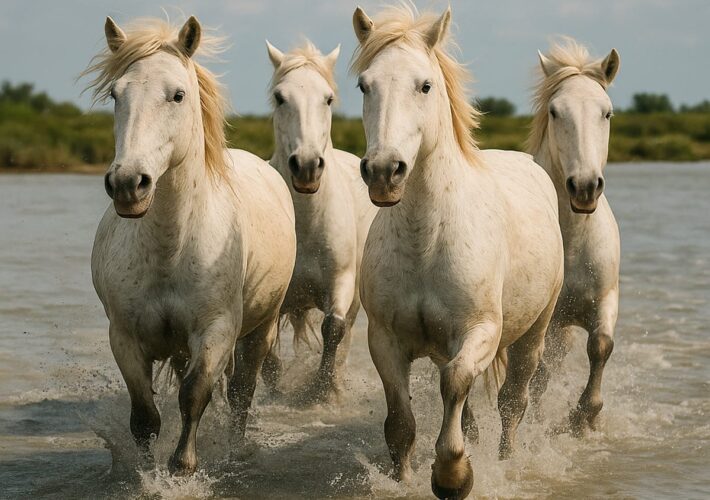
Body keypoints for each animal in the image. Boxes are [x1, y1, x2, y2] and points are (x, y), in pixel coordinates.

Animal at [85, 17, 296, 474]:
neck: (171, 248)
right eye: (115, 95)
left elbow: (195, 395)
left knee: (241, 392)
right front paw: (146, 472)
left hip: (261, 327)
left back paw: (235, 448)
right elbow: (145, 417)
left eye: (178, 95)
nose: (128, 184)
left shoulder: (215, 331)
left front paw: (183, 466)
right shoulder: (124, 337)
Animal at [261, 40, 377, 401]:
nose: (307, 166)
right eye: (280, 98)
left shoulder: (340, 283)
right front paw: (277, 388)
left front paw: (319, 392)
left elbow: (333, 329)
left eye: (327, 98)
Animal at [351, 6, 564, 499]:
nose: (384, 172)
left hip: (534, 334)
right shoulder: (385, 340)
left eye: (425, 85)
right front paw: (405, 478)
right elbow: (401, 422)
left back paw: (506, 459)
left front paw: (453, 476)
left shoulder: (480, 331)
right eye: (364, 85)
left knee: (513, 402)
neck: (427, 240)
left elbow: (457, 381)